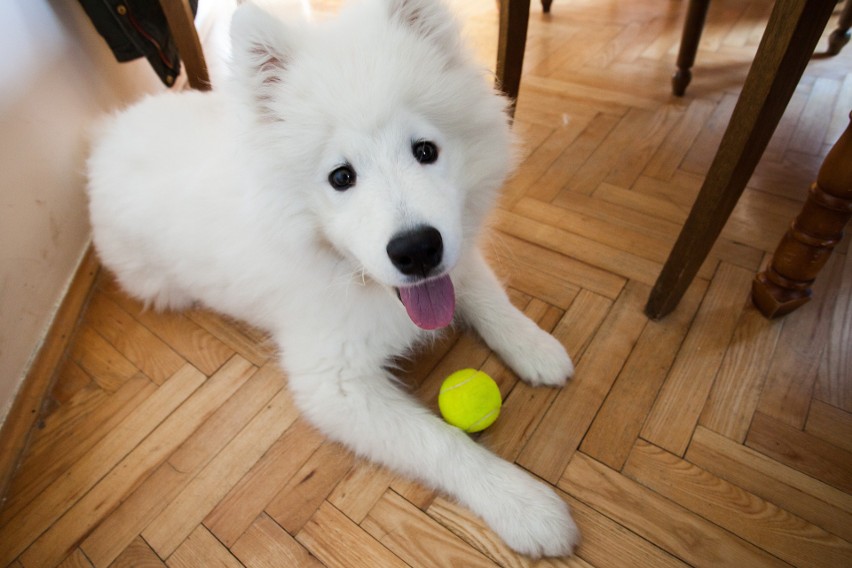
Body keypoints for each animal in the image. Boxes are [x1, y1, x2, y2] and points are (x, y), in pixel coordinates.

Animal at [86, 0, 580, 560]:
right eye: (341, 177)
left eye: (425, 150)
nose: (417, 250)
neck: (356, 277)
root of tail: (108, 134)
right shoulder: (334, 385)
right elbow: (441, 442)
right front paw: (523, 504)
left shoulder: (455, 257)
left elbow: (487, 295)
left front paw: (535, 346)